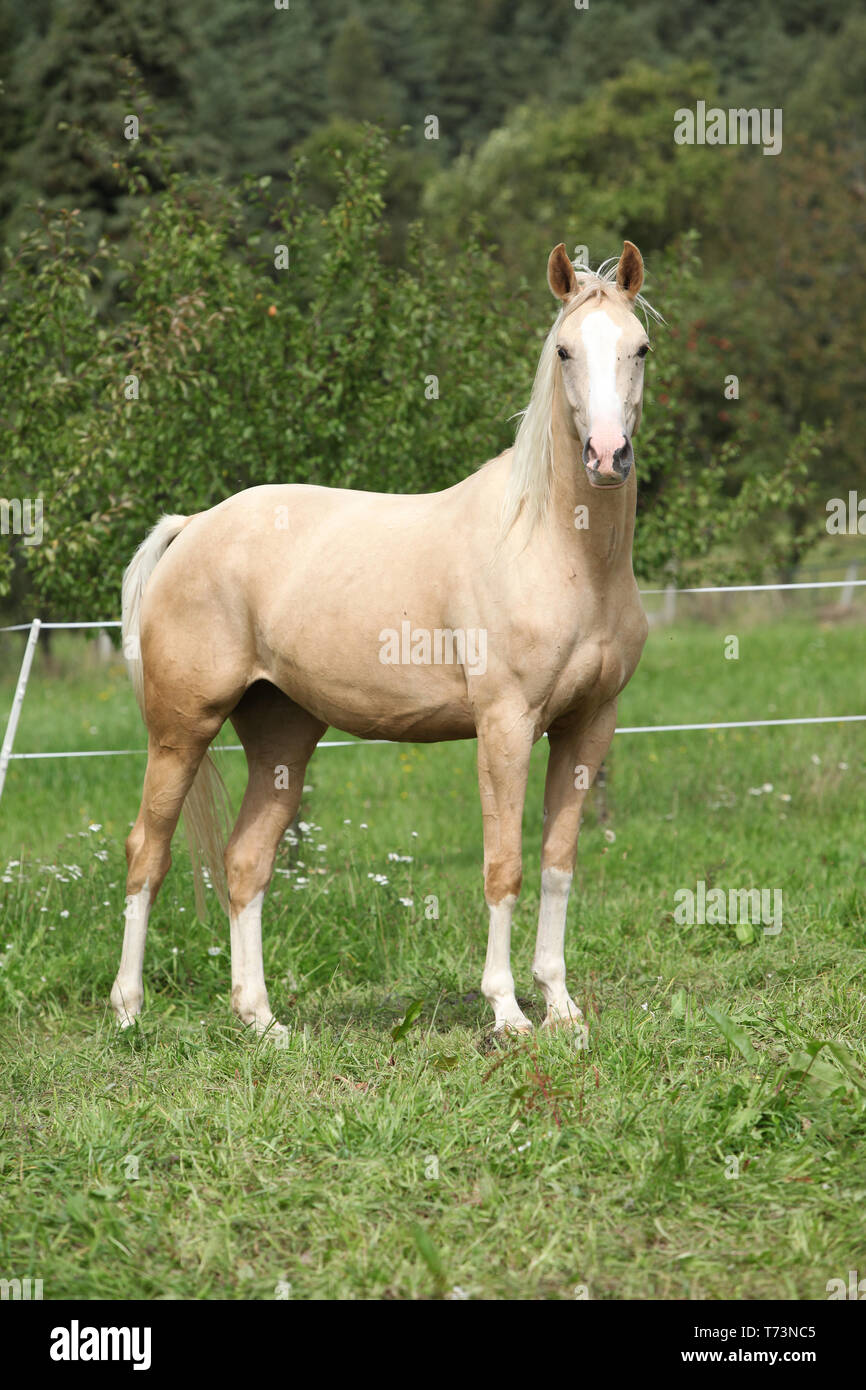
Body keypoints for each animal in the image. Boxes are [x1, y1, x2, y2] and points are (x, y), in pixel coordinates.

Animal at [111, 240, 656, 1040]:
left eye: (638, 348)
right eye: (563, 351)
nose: (607, 456)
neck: (559, 550)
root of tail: (193, 527)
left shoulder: (589, 725)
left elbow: (557, 863)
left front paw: (561, 1006)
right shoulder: (505, 726)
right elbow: (504, 866)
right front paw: (507, 1013)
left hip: (282, 736)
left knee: (245, 864)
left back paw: (262, 1021)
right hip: (181, 731)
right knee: (147, 853)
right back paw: (128, 1012)